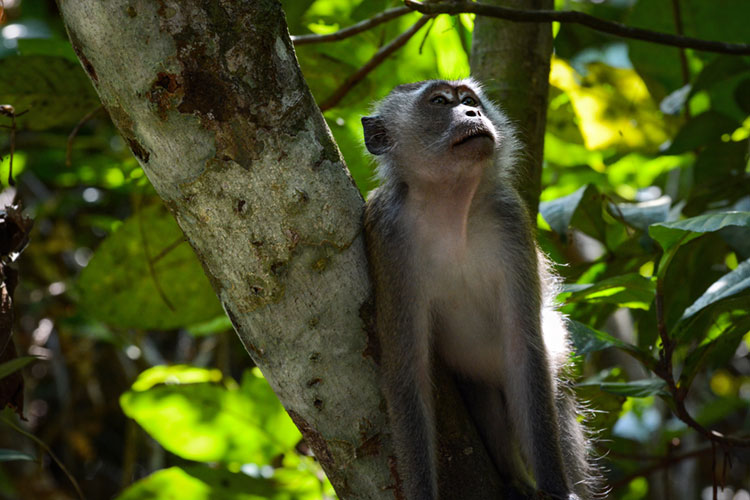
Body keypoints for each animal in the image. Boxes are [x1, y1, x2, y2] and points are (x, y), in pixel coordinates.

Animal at [362, 79, 594, 500]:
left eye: (469, 100)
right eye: (440, 102)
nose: (473, 114)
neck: (450, 204)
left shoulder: (509, 217)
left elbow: (525, 352)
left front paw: (556, 487)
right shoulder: (386, 233)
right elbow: (407, 372)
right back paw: (513, 479)